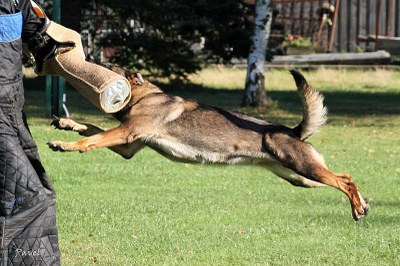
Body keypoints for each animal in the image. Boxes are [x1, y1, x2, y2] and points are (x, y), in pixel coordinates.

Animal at [48, 66, 370, 220]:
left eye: (108, 66)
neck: (145, 96)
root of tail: (293, 131)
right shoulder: (128, 146)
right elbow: (90, 128)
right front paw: (66, 124)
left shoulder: (126, 133)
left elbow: (93, 138)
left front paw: (66, 145)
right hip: (301, 178)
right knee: (345, 178)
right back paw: (364, 204)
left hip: (304, 168)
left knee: (345, 180)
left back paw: (357, 207)